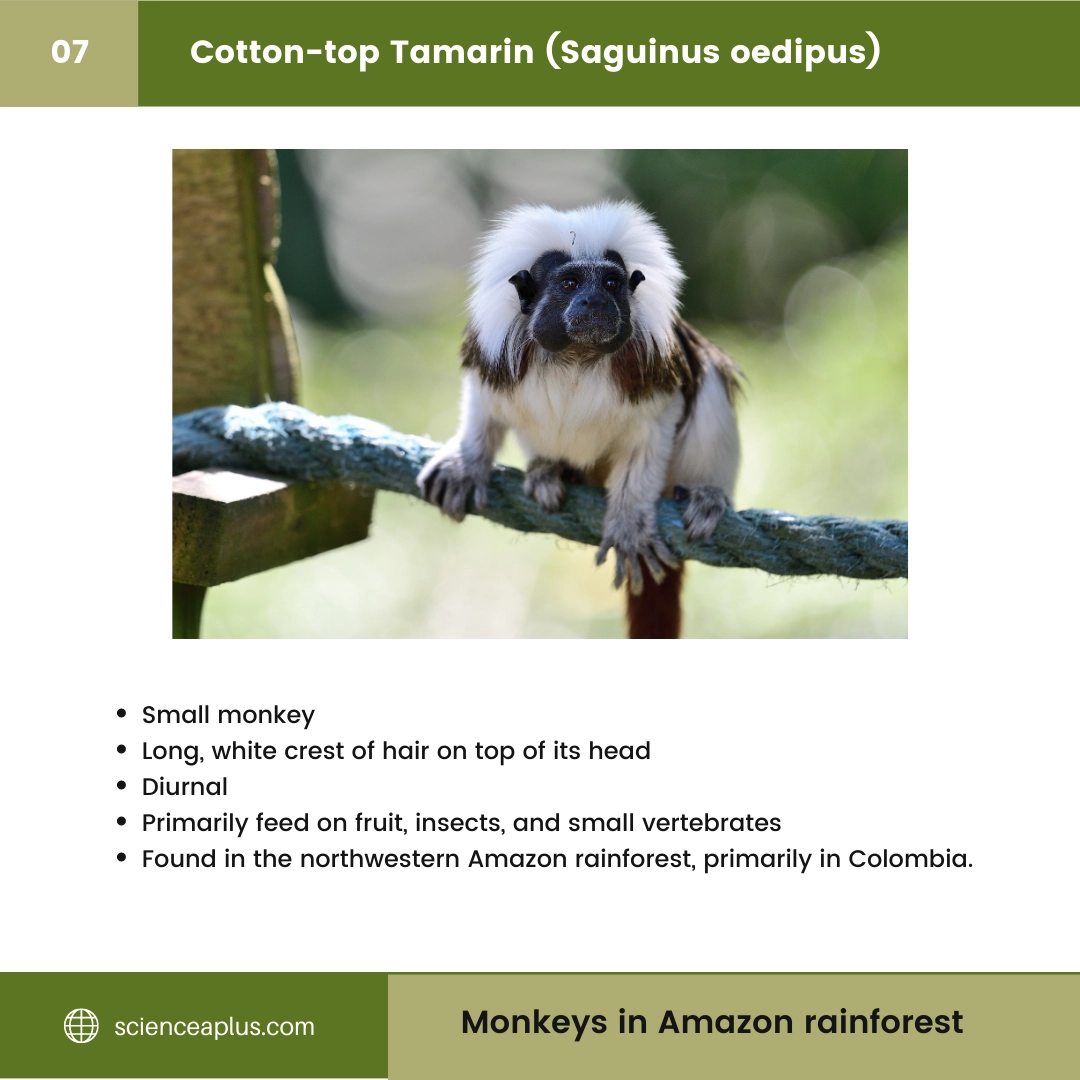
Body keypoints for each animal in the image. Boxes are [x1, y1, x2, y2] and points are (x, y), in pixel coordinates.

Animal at [418, 202, 741, 638]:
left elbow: (652, 435)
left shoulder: (651, 366)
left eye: (611, 283)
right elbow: (483, 406)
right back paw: (551, 470)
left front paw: (628, 522)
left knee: (709, 379)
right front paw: (465, 464)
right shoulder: (495, 355)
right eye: (570, 284)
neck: (576, 357)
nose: (595, 302)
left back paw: (706, 494)